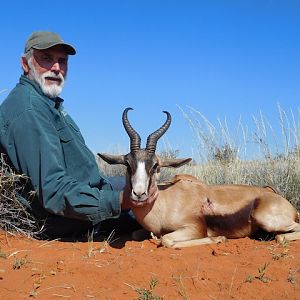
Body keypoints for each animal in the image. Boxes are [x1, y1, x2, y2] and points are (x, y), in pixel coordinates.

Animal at [98, 108, 300, 248]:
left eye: (156, 166)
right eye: (127, 164)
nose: (139, 194)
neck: (164, 202)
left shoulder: (192, 228)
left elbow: (166, 240)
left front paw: (218, 238)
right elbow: (137, 235)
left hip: (266, 219)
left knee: (282, 235)